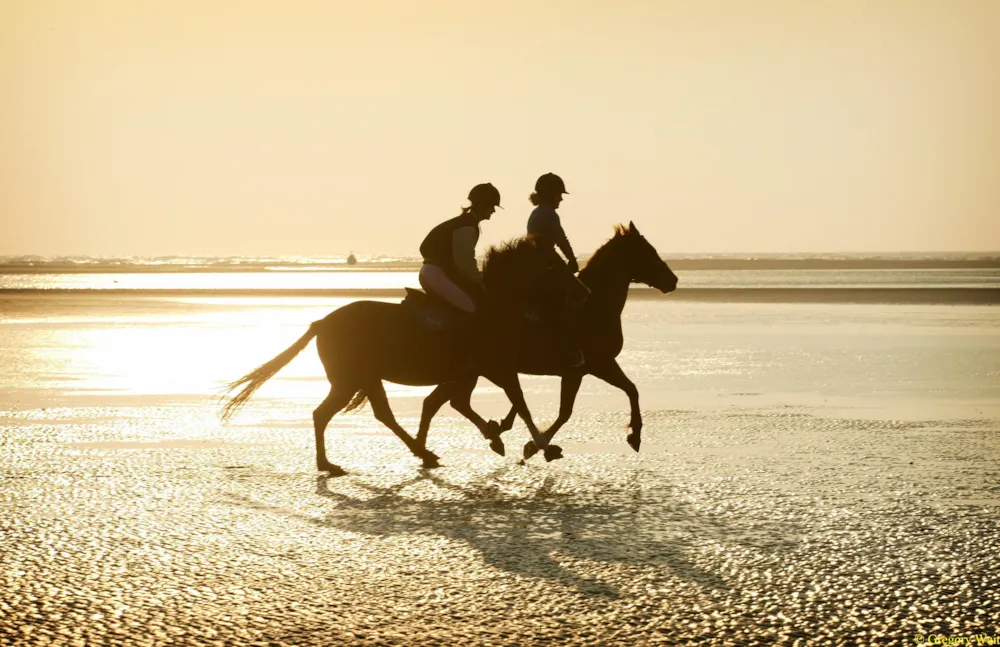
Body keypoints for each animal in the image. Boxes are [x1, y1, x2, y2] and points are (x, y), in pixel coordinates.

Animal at [220, 237, 588, 476]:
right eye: (554, 266)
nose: (583, 292)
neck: (495, 307)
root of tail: (323, 322)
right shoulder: (495, 369)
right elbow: (519, 403)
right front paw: (542, 447)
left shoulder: (469, 373)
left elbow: (454, 404)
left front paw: (496, 435)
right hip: (351, 379)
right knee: (328, 414)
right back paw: (333, 464)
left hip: (364, 378)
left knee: (370, 414)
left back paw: (418, 453)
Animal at [414, 223, 680, 460]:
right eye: (648, 251)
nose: (673, 280)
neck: (593, 309)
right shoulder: (584, 369)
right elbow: (566, 412)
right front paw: (535, 447)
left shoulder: (600, 365)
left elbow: (631, 389)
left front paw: (634, 436)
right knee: (448, 402)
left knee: (436, 402)